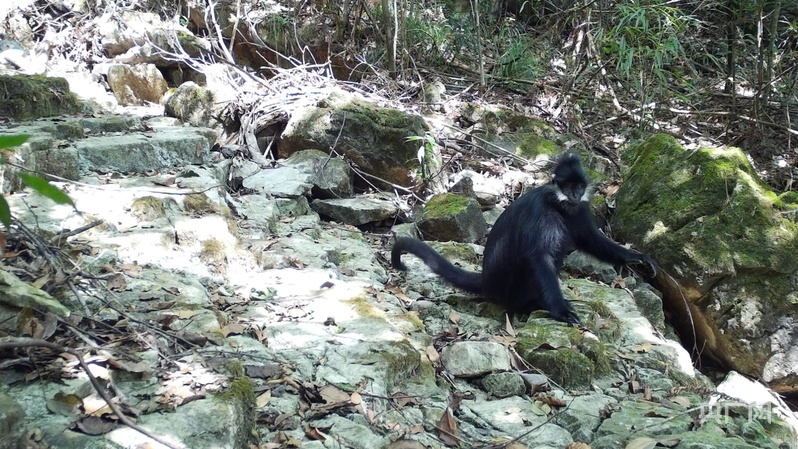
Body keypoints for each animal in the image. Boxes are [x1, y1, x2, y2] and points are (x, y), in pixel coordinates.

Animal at [392, 152, 656, 324]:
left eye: (579, 188)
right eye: (569, 187)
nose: (574, 195)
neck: (558, 205)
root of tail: (489, 280)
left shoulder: (579, 209)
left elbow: (590, 240)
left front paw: (636, 258)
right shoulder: (542, 213)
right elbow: (539, 257)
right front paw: (560, 311)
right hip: (513, 287)